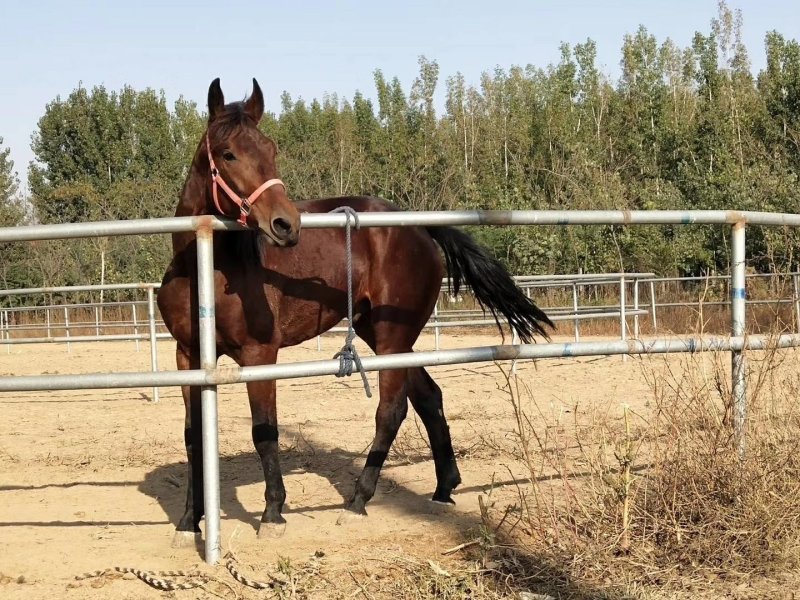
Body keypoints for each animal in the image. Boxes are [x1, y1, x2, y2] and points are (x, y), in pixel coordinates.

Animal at [157, 78, 554, 544]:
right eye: (228, 153)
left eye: (271, 149)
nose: (285, 224)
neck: (207, 270)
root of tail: (416, 226)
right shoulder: (188, 356)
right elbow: (193, 437)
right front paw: (188, 522)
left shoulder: (259, 355)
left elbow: (264, 431)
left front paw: (273, 514)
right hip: (382, 336)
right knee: (428, 396)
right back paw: (443, 488)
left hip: (390, 339)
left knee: (392, 410)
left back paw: (358, 501)